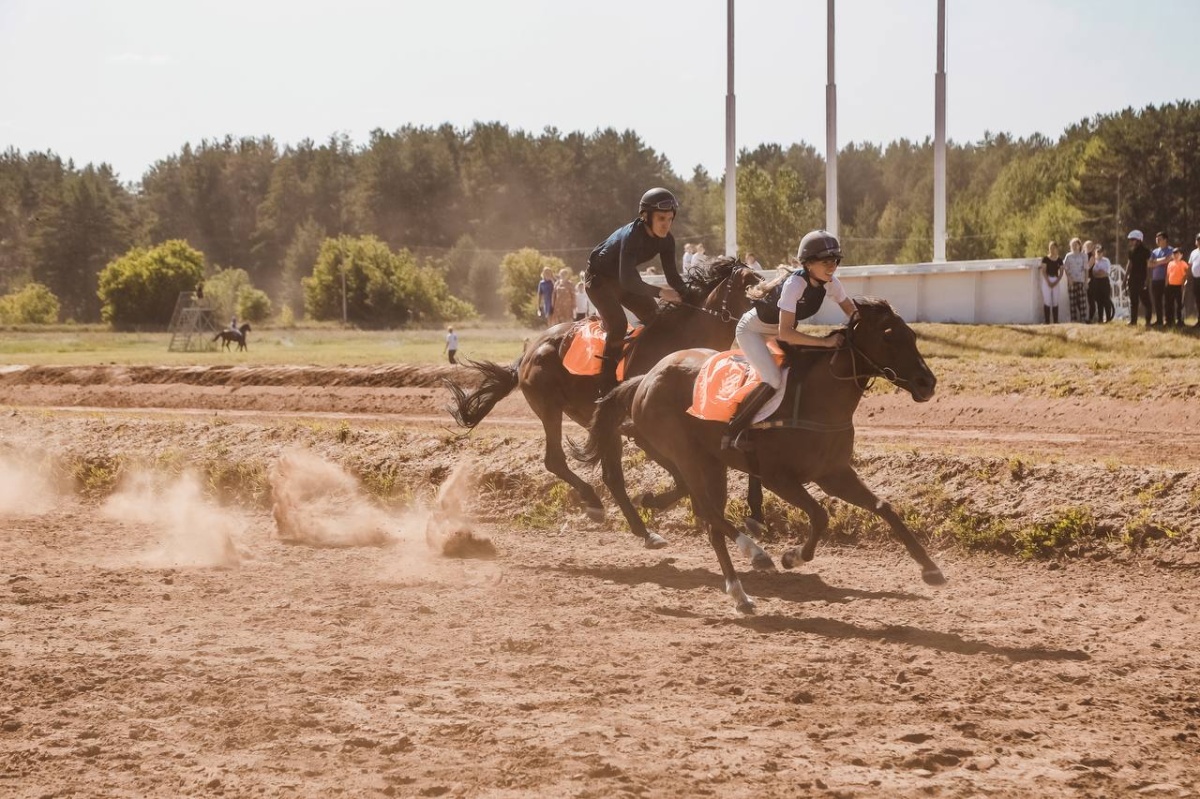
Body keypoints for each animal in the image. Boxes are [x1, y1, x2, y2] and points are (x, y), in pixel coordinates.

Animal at [446, 257, 763, 544]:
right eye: (751, 287)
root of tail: (529, 351)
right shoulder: (641, 431)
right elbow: (684, 478)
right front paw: (660, 501)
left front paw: (752, 513)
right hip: (551, 408)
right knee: (557, 461)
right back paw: (594, 502)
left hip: (593, 419)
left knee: (610, 476)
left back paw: (643, 531)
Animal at [578, 295, 945, 611]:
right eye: (888, 336)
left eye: (911, 334)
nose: (927, 383)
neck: (817, 401)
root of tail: (644, 379)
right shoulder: (776, 478)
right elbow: (820, 515)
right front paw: (792, 556)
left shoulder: (834, 474)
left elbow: (884, 508)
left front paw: (931, 569)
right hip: (688, 456)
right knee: (709, 513)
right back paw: (754, 557)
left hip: (712, 464)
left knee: (710, 519)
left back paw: (739, 589)